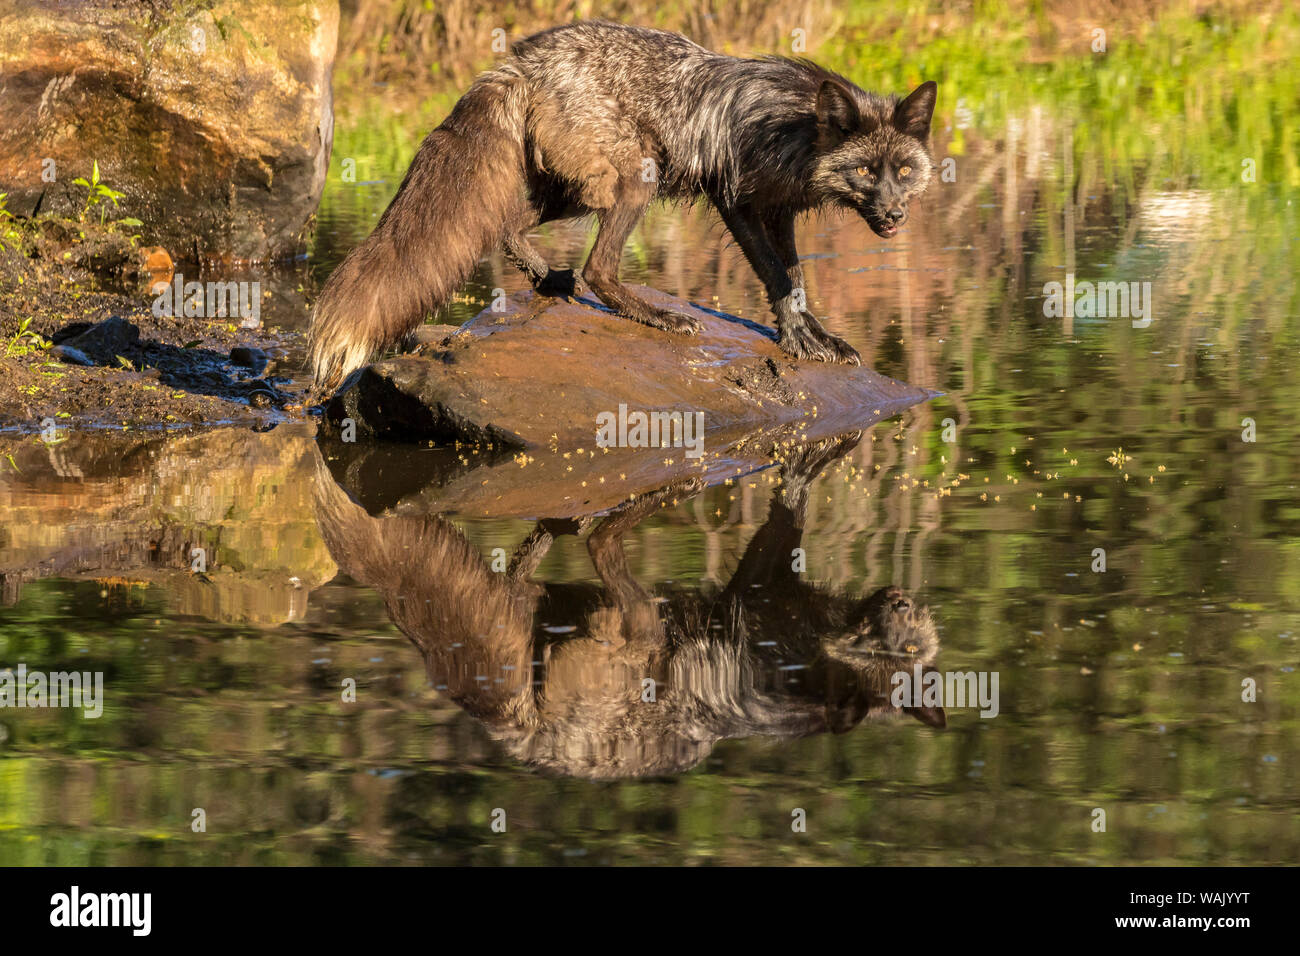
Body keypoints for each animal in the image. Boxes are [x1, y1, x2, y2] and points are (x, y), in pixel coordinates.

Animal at [308, 19, 939, 394]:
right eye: (865, 172)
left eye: (904, 172)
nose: (894, 216)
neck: (798, 128)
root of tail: (519, 61)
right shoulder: (735, 199)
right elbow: (777, 277)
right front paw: (798, 340)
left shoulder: (780, 209)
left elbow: (795, 279)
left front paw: (815, 337)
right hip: (634, 181)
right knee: (598, 269)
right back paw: (656, 316)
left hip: (572, 192)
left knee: (508, 227)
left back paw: (547, 279)